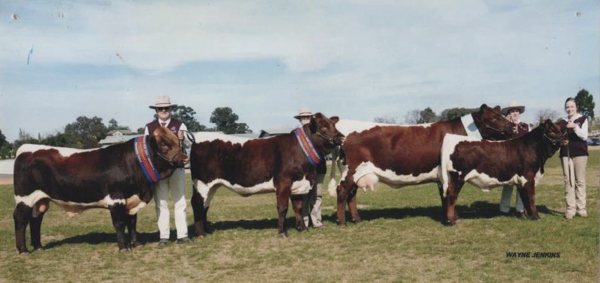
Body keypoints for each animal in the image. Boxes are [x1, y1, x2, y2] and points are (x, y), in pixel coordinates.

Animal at [14, 127, 188, 254]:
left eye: (177, 141)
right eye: (164, 144)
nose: (185, 158)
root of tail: (26, 148)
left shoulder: (131, 199)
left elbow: (132, 222)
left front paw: (136, 243)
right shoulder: (116, 198)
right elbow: (119, 223)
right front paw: (123, 247)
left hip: (41, 199)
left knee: (36, 220)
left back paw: (39, 247)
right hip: (25, 198)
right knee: (21, 219)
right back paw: (23, 250)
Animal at [190, 113, 344, 240]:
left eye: (333, 124)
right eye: (323, 126)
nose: (341, 137)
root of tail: (196, 138)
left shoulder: (298, 184)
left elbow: (298, 207)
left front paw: (303, 229)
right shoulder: (283, 183)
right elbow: (282, 208)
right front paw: (282, 232)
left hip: (212, 185)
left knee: (205, 205)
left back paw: (206, 230)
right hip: (202, 183)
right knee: (197, 204)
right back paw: (201, 234)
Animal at [330, 104, 512, 226]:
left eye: (501, 115)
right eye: (493, 117)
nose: (513, 126)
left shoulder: (441, 176)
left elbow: (444, 195)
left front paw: (448, 216)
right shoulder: (452, 172)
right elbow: (451, 194)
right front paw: (454, 218)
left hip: (356, 173)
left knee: (351, 194)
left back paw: (357, 219)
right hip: (351, 171)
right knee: (342, 191)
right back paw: (342, 222)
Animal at [440, 118, 568, 225]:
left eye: (558, 129)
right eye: (551, 131)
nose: (565, 140)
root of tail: (451, 138)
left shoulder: (521, 181)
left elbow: (525, 198)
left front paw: (527, 215)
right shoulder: (529, 177)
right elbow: (531, 198)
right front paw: (536, 216)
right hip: (458, 177)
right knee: (451, 195)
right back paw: (451, 221)